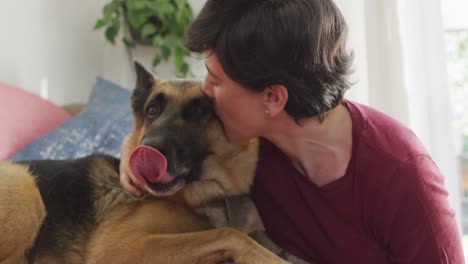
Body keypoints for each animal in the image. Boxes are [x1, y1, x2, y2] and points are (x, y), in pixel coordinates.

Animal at [0, 63, 308, 262]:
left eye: (200, 111)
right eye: (152, 110)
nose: (145, 150)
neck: (206, 198)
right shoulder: (120, 246)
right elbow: (228, 234)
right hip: (26, 193)